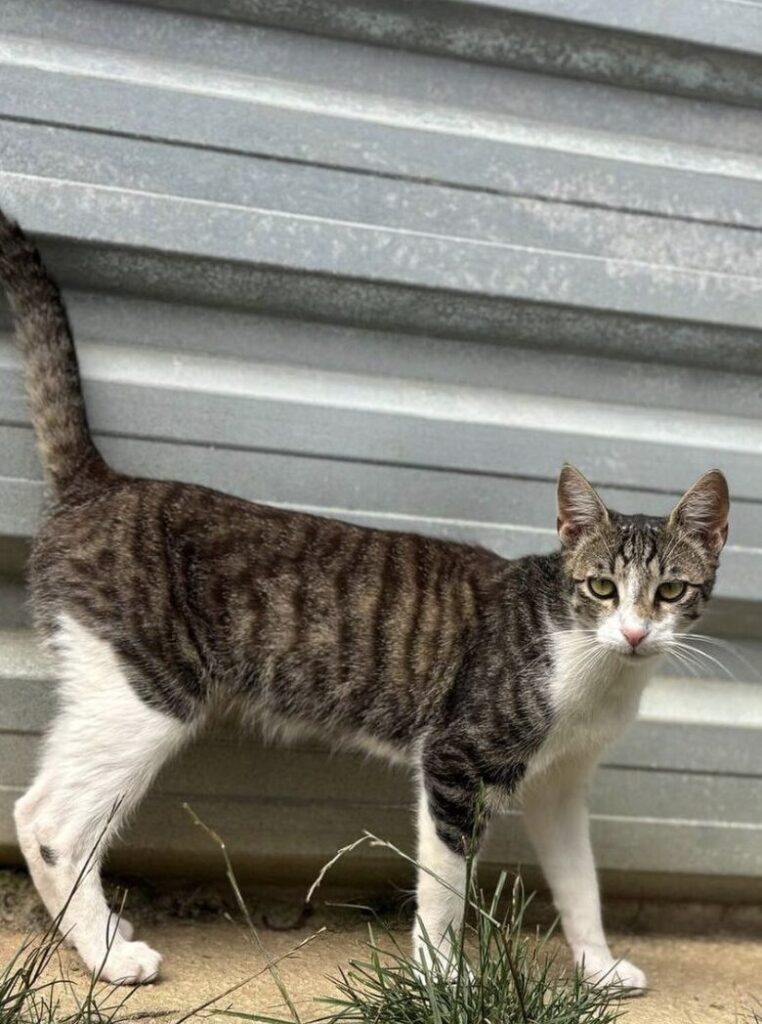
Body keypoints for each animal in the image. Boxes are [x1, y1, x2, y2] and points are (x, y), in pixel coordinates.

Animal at [0, 209, 725, 991]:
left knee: (39, 801)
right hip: (145, 695)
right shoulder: (454, 761)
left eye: (670, 591)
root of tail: (103, 483)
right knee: (49, 823)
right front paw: (442, 979)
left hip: (106, 693)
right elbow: (445, 889)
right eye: (601, 587)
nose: (634, 633)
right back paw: (108, 953)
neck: (593, 667)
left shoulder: (559, 785)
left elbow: (580, 882)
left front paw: (598, 969)